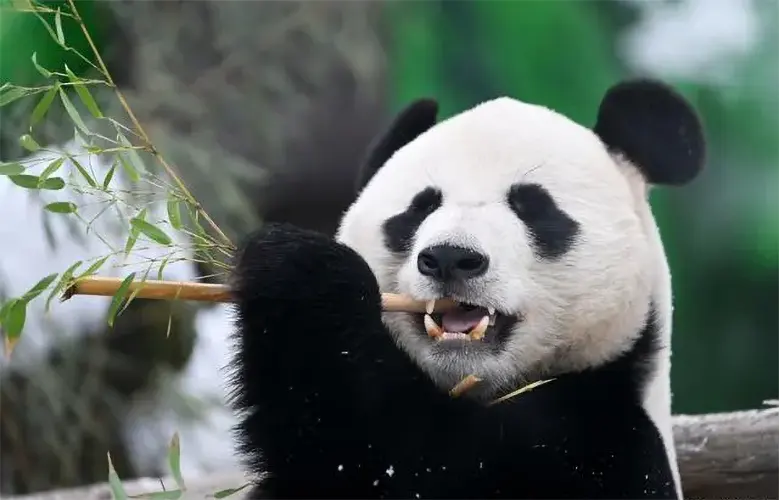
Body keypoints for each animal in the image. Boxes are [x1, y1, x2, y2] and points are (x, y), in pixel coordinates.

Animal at [227, 79, 705, 499]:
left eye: (532, 207)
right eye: (420, 207)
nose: (450, 257)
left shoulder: (600, 441)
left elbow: (403, 459)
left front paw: (304, 274)